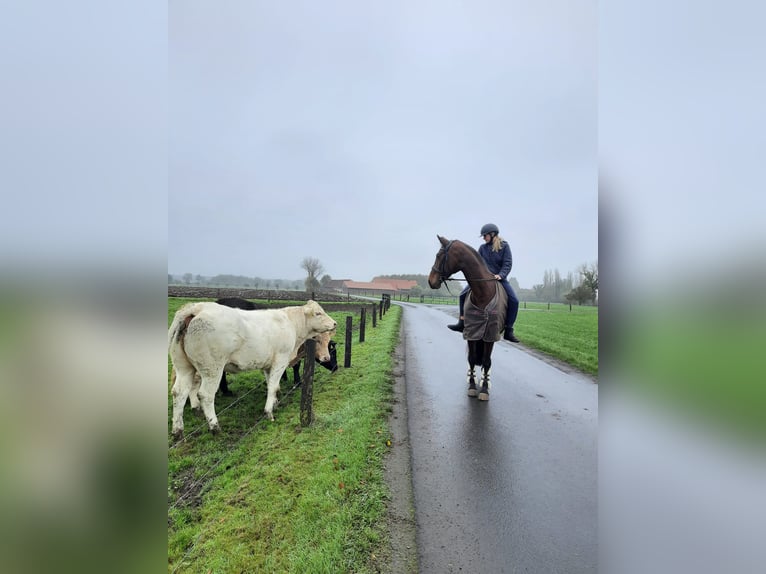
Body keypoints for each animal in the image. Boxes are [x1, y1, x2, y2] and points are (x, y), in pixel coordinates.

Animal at [428, 235, 508, 401]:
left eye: (439, 256)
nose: (430, 281)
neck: (483, 292)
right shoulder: (471, 332)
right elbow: (471, 358)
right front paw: (472, 385)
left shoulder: (490, 335)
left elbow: (487, 361)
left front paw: (484, 389)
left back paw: (485, 379)